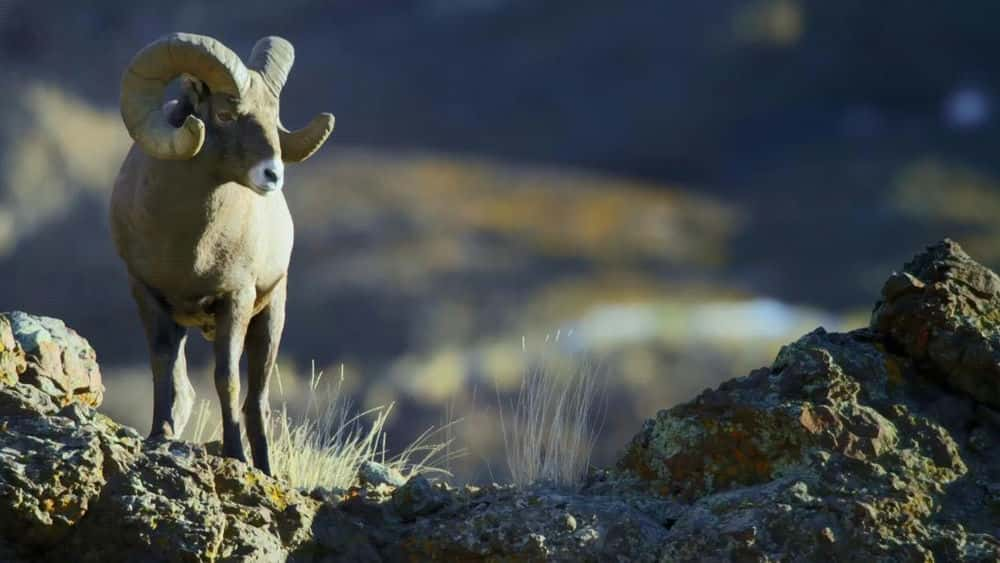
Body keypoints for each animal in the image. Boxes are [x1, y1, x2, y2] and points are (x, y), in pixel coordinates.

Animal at [111, 33, 334, 474]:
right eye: (226, 115)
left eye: (272, 116)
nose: (273, 175)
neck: (187, 243)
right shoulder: (147, 294)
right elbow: (162, 365)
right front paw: (159, 435)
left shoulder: (236, 299)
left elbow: (226, 379)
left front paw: (235, 454)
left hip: (270, 318)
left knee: (257, 401)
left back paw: (264, 468)